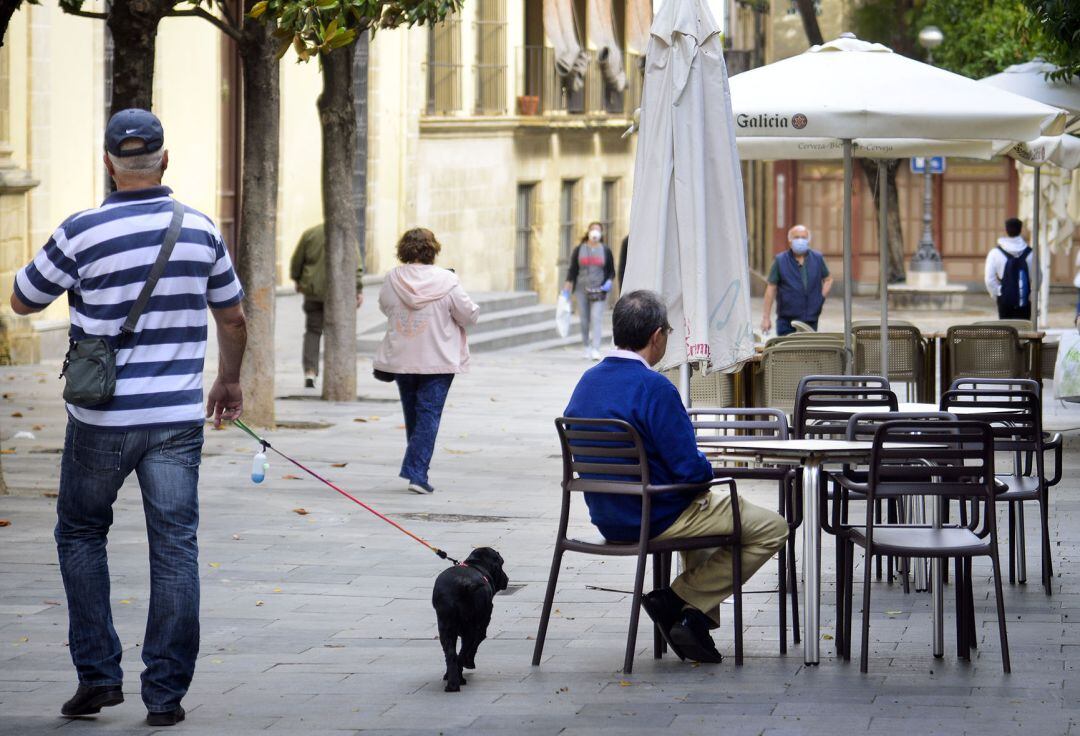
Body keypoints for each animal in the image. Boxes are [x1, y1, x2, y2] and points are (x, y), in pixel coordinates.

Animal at [432, 549, 507, 691]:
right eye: (502, 564)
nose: (507, 579)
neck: (476, 564)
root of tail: (463, 584)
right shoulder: (482, 629)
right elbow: (473, 647)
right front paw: (469, 663)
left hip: (445, 629)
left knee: (451, 655)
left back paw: (452, 683)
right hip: (471, 628)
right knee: (462, 654)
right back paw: (459, 680)